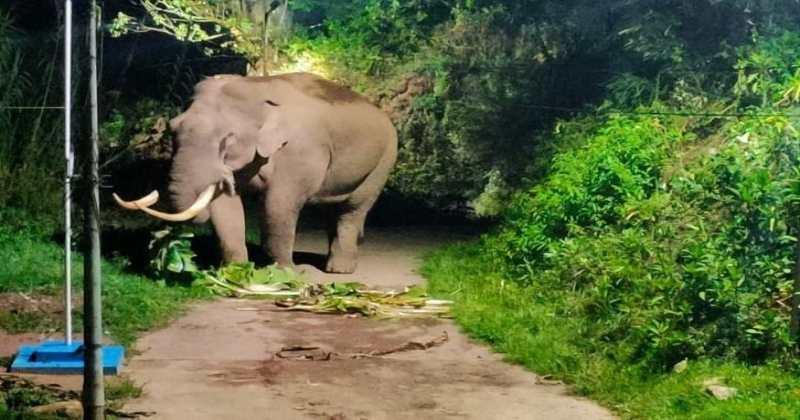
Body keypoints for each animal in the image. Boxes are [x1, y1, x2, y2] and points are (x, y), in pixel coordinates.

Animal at [111, 72, 398, 274]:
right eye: (172, 128)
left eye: (227, 139)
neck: (259, 87)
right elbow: (225, 206)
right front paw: (236, 272)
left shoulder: (299, 151)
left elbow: (278, 205)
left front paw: (286, 274)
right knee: (334, 211)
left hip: (384, 160)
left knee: (352, 211)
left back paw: (340, 270)